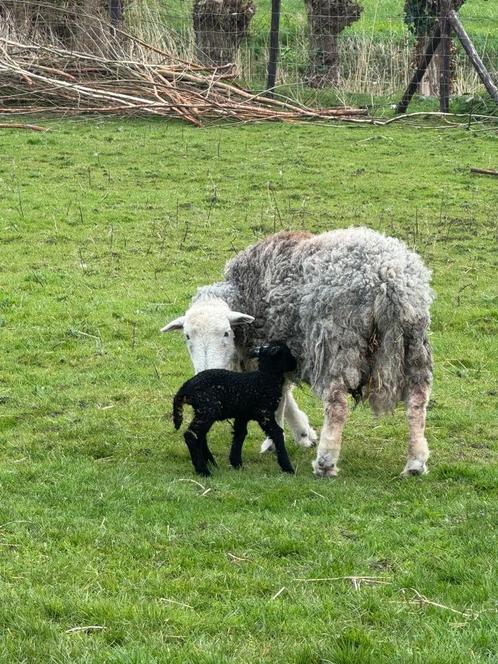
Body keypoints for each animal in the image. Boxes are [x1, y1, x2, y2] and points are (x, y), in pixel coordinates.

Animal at [172, 342, 296, 478]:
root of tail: (186, 388)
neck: (266, 378)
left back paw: (210, 462)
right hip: (208, 409)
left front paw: (236, 463)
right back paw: (203, 470)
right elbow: (277, 433)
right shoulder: (264, 412)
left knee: (200, 435)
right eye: (287, 352)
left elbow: (240, 434)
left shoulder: (243, 415)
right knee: (191, 435)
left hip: (203, 411)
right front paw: (288, 467)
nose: (295, 363)